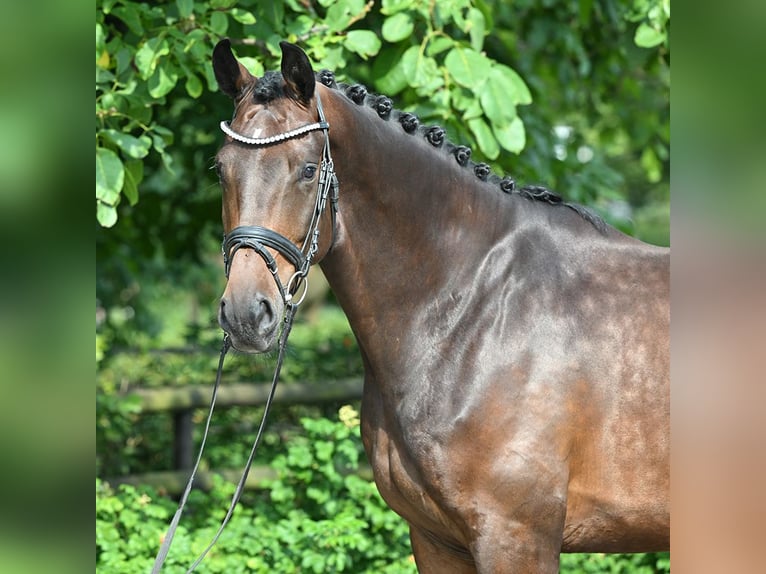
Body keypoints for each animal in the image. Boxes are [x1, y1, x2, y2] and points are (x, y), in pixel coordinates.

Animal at [213, 38, 668, 572]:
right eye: (220, 169)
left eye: (307, 170)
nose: (245, 314)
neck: (474, 306)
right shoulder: (435, 539)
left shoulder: (516, 537)